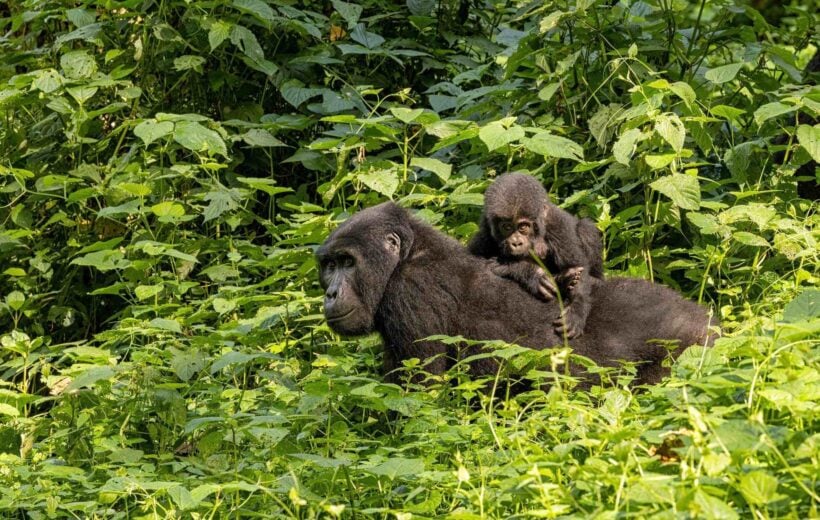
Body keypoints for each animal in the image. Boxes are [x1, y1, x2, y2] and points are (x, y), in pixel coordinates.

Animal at [318, 203, 716, 386]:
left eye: (348, 262)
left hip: (688, 344)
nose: (331, 293)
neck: (408, 255)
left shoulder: (410, 294)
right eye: (328, 265)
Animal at [468, 173, 604, 340]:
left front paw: (576, 310)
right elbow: (479, 266)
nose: (516, 243)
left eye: (523, 227)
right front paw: (530, 273)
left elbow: (575, 266)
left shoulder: (556, 224)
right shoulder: (484, 235)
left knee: (586, 229)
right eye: (507, 227)